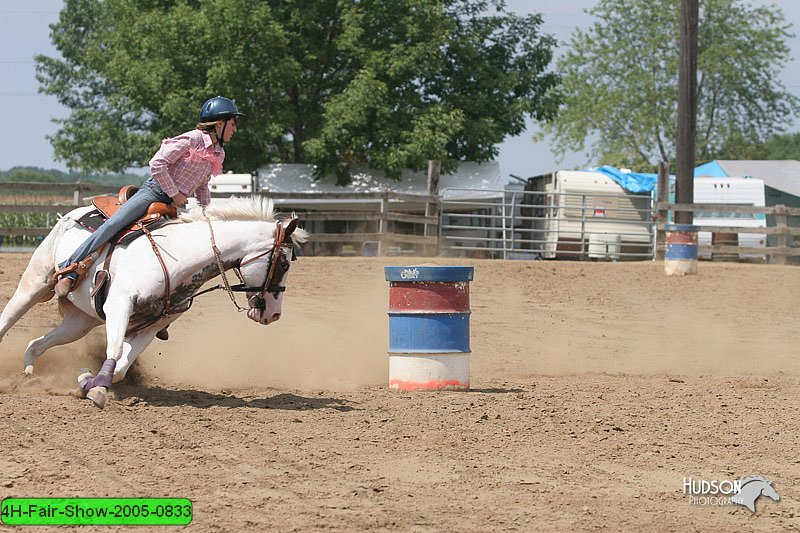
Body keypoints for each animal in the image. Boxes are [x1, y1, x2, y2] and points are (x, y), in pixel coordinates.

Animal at [0, 195, 306, 408]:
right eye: (284, 264)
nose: (274, 314)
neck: (179, 258)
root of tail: (70, 214)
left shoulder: (153, 323)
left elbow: (121, 367)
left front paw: (87, 381)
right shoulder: (119, 306)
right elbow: (114, 351)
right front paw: (96, 389)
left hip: (80, 321)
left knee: (37, 343)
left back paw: (29, 371)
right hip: (34, 285)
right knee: (8, 318)